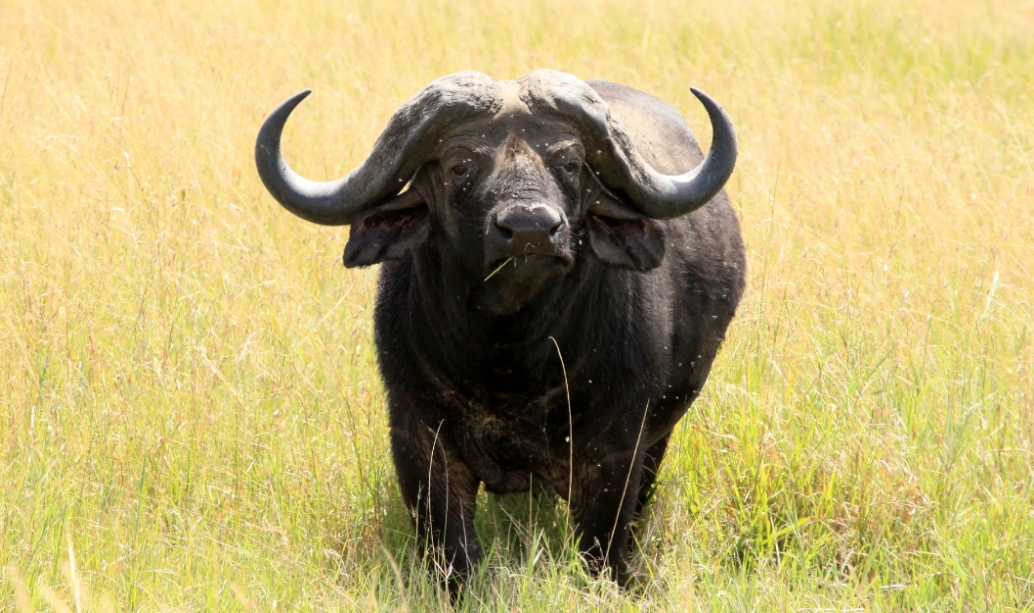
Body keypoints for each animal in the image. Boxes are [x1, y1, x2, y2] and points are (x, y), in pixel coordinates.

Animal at [255, 70, 745, 587]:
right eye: (459, 166)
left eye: (570, 163)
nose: (530, 230)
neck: (508, 360)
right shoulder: (417, 437)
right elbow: (452, 550)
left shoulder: (618, 448)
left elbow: (603, 547)